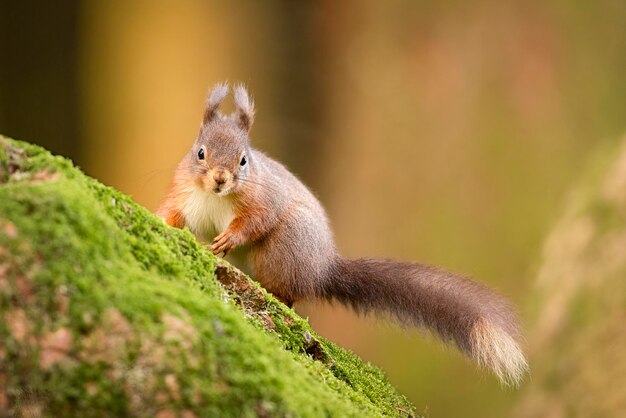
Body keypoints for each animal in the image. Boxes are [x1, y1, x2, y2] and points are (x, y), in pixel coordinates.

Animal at [156, 83, 528, 386]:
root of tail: (322, 268)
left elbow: (255, 222)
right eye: (200, 152)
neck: (215, 196)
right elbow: (173, 214)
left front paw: (229, 239)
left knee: (288, 293)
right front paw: (163, 222)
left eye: (243, 160)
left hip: (284, 247)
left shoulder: (263, 200)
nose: (220, 178)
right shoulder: (184, 195)